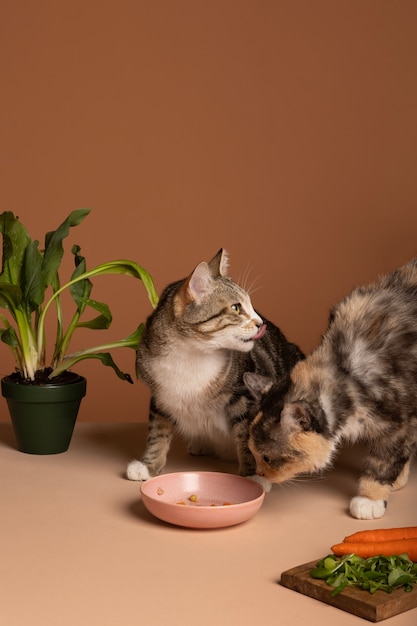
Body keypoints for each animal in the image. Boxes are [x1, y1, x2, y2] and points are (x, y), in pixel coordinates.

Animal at [124, 246, 302, 486]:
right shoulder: (160, 394)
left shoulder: (246, 393)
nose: (261, 323)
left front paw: (253, 474)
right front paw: (149, 465)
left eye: (251, 306)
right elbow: (157, 431)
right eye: (236, 308)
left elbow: (247, 435)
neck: (191, 354)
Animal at [245, 256, 417, 520]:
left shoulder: (400, 420)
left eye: (268, 457)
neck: (345, 370)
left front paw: (370, 499)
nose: (261, 473)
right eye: (252, 452)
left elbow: (384, 458)